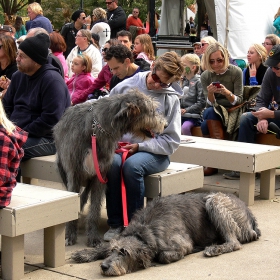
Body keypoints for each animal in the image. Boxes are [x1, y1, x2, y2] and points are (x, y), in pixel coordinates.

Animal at [53, 90, 166, 247]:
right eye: (151, 111)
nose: (165, 125)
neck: (95, 129)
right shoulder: (73, 173)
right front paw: (70, 235)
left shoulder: (100, 174)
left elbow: (94, 209)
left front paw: (93, 237)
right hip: (62, 167)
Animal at [71, 192, 260, 276]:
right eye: (113, 251)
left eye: (125, 253)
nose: (104, 267)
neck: (144, 231)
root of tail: (250, 215)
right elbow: (105, 245)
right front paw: (85, 253)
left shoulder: (180, 243)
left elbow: (164, 256)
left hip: (215, 200)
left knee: (234, 243)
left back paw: (214, 248)